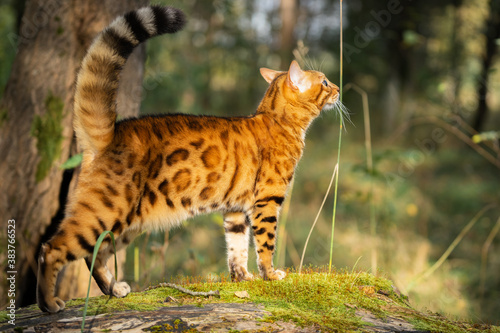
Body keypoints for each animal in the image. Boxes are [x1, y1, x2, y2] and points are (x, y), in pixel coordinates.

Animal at [35, 4, 340, 312]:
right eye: (324, 81)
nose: (338, 88)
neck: (276, 119)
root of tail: (110, 132)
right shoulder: (267, 200)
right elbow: (265, 243)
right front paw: (270, 274)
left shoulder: (235, 210)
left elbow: (237, 247)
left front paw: (243, 278)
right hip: (103, 213)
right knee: (51, 249)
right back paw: (48, 303)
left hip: (127, 224)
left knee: (95, 254)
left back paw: (114, 289)